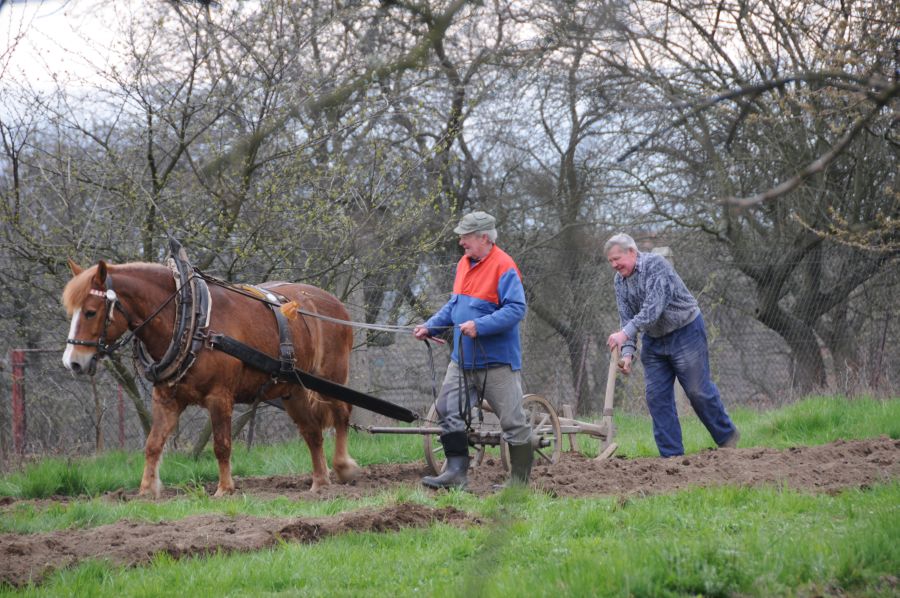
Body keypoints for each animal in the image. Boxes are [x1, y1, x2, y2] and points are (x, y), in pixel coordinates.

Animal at [60, 260, 358, 500]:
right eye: (72, 312)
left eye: (90, 311)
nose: (73, 362)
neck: (191, 319)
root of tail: (334, 304)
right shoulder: (166, 399)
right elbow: (153, 444)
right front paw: (146, 490)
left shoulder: (220, 397)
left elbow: (221, 445)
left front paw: (225, 489)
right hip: (292, 390)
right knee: (312, 432)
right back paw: (320, 483)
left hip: (330, 378)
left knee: (343, 413)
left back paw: (344, 466)